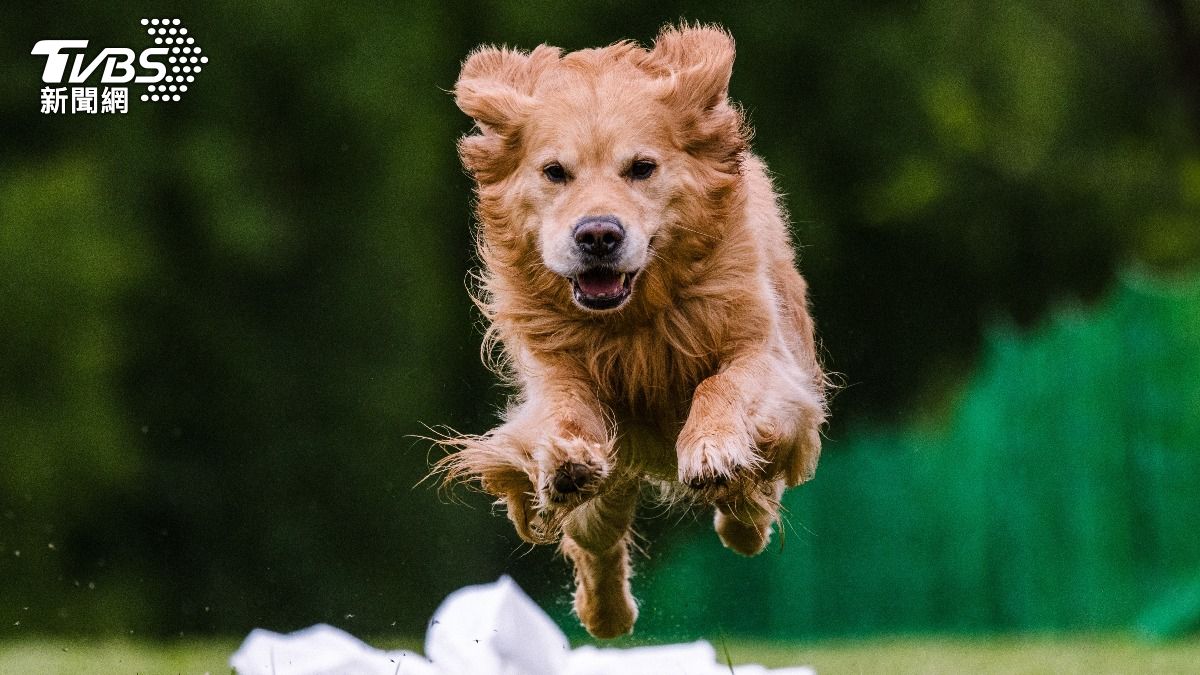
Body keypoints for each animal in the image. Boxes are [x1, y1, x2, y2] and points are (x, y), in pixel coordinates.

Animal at [439, 24, 825, 634]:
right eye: (555, 172)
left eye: (642, 167)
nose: (598, 234)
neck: (636, 318)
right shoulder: (554, 369)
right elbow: (562, 414)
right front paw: (566, 459)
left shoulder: (764, 351)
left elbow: (722, 384)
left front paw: (712, 449)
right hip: (608, 489)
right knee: (594, 533)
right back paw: (606, 615)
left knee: (751, 499)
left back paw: (741, 517)